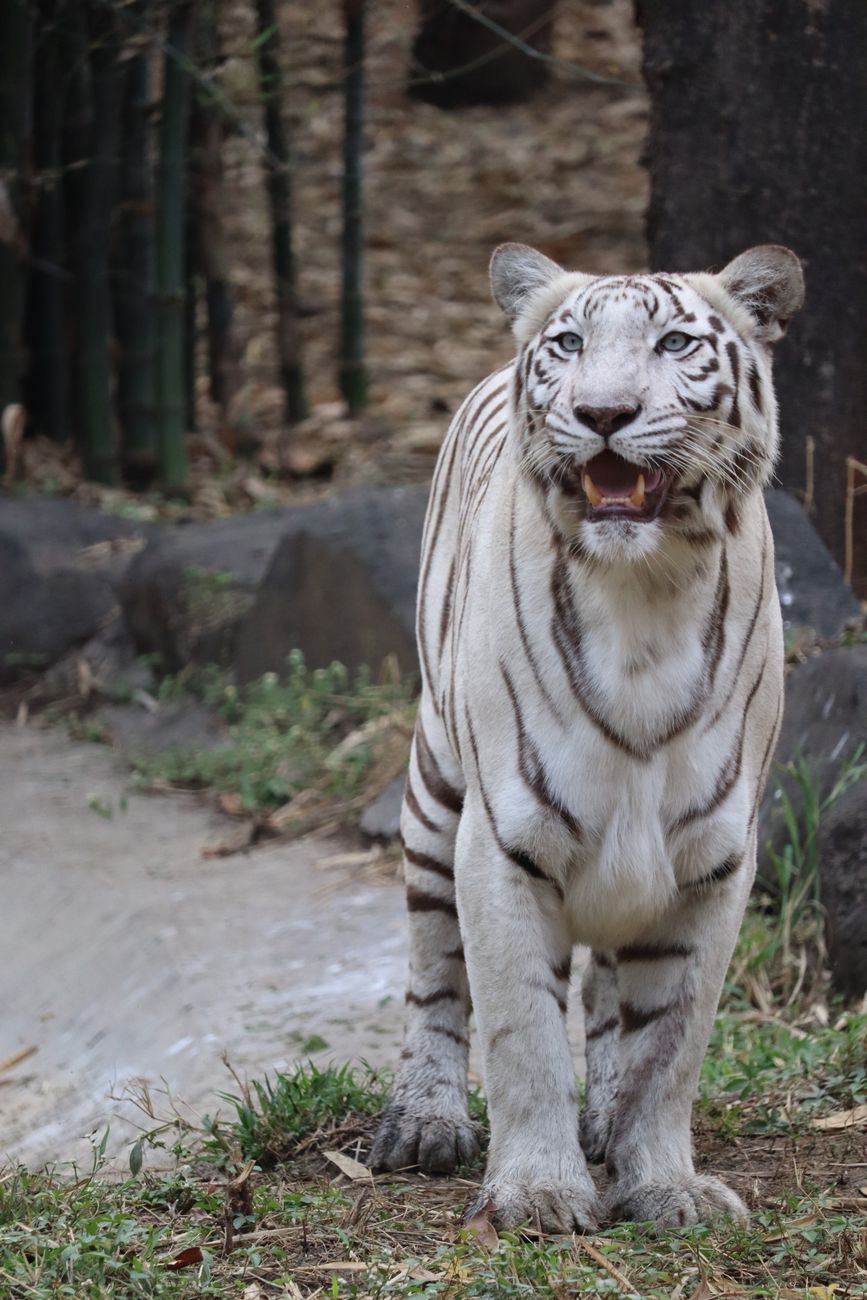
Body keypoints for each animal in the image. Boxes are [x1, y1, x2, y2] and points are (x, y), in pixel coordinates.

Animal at [369, 242, 804, 1232]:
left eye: (674, 343)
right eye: (568, 345)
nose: (602, 413)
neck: (647, 591)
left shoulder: (711, 860)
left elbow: (666, 1048)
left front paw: (663, 1183)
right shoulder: (501, 844)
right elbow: (523, 1032)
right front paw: (536, 1191)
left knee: (608, 993)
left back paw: (600, 1118)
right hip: (433, 793)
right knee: (433, 973)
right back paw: (425, 1124)